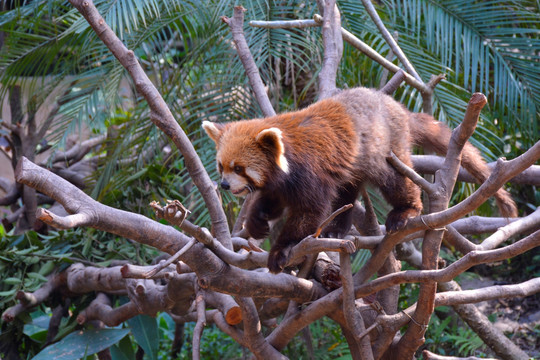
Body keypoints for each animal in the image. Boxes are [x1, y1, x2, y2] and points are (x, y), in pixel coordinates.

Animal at [204, 86, 520, 272]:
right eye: (221, 166)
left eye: (239, 168)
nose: (224, 185)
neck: (286, 154)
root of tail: (396, 107)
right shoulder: (280, 182)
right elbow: (271, 201)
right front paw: (256, 223)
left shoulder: (309, 173)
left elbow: (309, 212)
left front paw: (281, 250)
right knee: (346, 190)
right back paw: (336, 229)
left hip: (387, 148)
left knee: (395, 179)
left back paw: (406, 210)